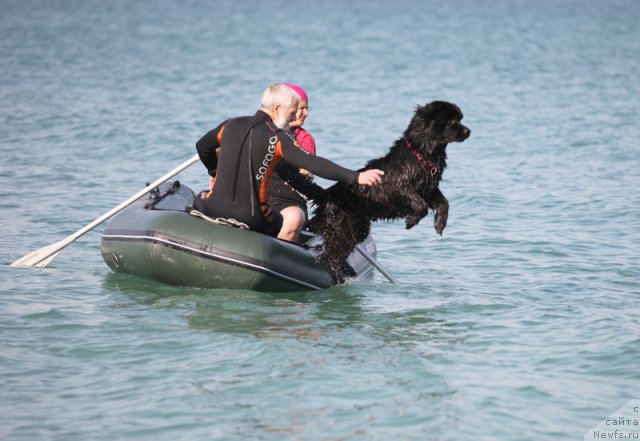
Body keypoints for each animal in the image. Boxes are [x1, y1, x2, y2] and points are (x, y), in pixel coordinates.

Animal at [308, 100, 470, 282]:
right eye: (451, 121)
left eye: (460, 119)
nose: (468, 131)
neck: (421, 154)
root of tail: (325, 196)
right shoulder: (399, 187)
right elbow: (420, 204)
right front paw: (411, 221)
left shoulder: (429, 189)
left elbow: (444, 202)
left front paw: (440, 224)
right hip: (340, 229)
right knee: (331, 256)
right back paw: (338, 275)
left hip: (357, 229)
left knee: (335, 253)